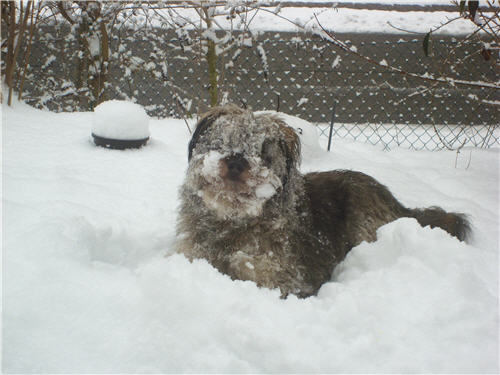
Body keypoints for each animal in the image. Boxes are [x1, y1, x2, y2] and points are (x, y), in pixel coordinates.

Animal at [175, 104, 468, 298]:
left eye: (264, 153)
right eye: (222, 142)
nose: (236, 162)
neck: (232, 221)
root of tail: (400, 205)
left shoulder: (280, 280)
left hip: (362, 213)